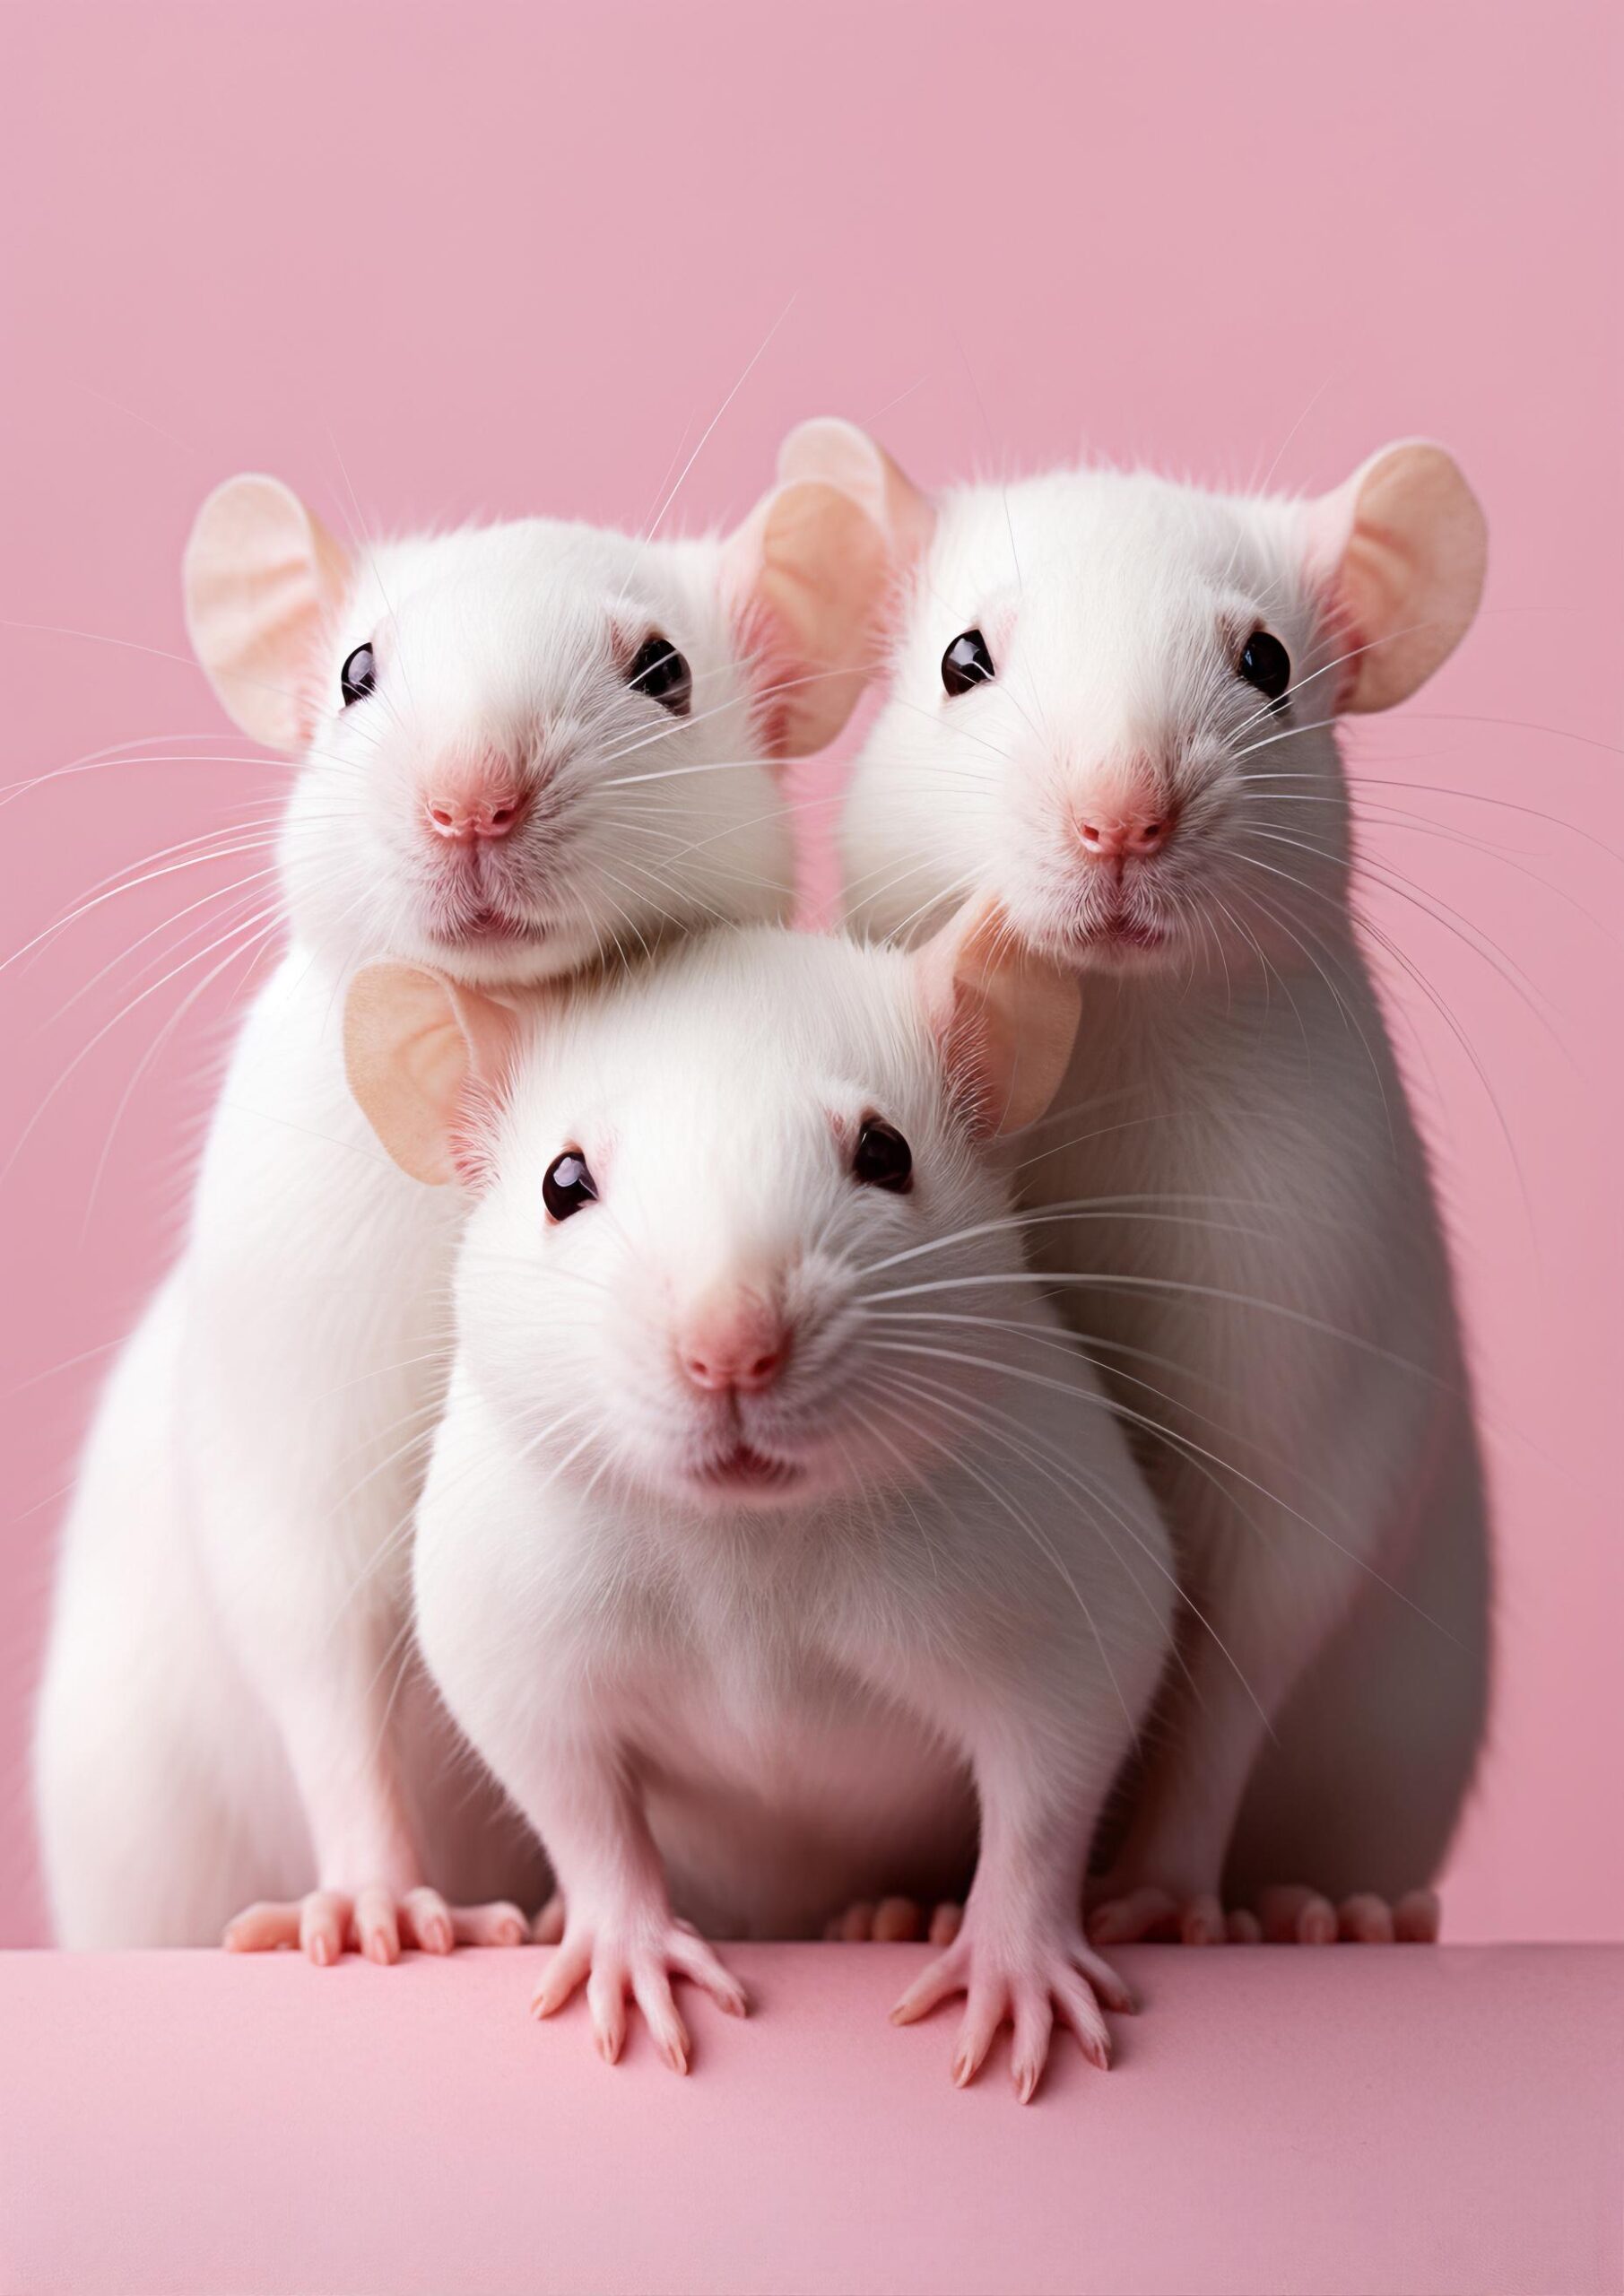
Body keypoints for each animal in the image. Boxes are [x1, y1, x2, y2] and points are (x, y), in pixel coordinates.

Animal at [33, 454, 893, 1963]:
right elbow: (309, 1619)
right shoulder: (288, 1325)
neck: (500, 1032)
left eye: (661, 670)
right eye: (358, 674)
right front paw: (374, 1894)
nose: (469, 801)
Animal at [343, 910, 1173, 2097]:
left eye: (885, 1152)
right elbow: (567, 1785)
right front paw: (623, 1939)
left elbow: (1052, 1769)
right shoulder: (518, 1608)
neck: (747, 1540)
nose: (729, 1348)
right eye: (561, 1180)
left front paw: (1012, 1958)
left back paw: (896, 1915)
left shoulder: (1049, 1569)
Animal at [827, 419, 1491, 1946]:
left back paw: (1329, 1910)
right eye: (961, 659)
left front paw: (1163, 1896)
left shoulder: (1308, 1292)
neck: (1103, 1025)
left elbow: (1258, 1618)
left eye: (1264, 662)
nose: (1119, 821)